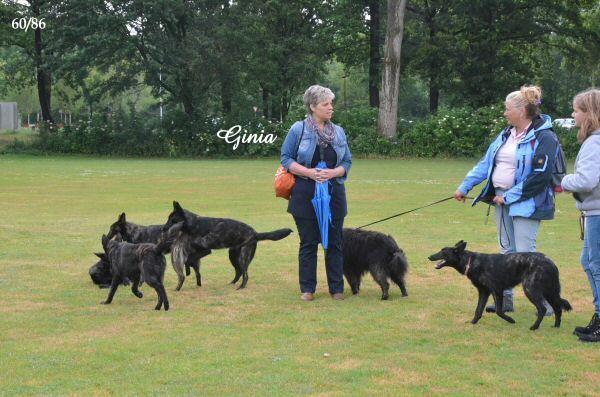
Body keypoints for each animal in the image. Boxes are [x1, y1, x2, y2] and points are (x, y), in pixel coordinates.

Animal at [162, 201, 292, 288]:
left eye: (172, 220)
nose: (163, 229)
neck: (195, 224)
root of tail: (255, 233)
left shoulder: (206, 250)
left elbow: (190, 258)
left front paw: (188, 267)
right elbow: (191, 258)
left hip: (243, 257)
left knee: (245, 274)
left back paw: (241, 287)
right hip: (233, 256)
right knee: (239, 272)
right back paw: (232, 283)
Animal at [426, 240, 572, 330]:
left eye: (443, 252)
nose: (429, 257)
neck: (470, 262)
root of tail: (550, 262)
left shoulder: (496, 290)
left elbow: (499, 311)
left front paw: (511, 320)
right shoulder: (484, 292)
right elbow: (478, 310)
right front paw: (473, 323)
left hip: (530, 290)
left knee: (542, 309)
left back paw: (534, 327)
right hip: (549, 292)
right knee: (558, 308)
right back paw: (556, 327)